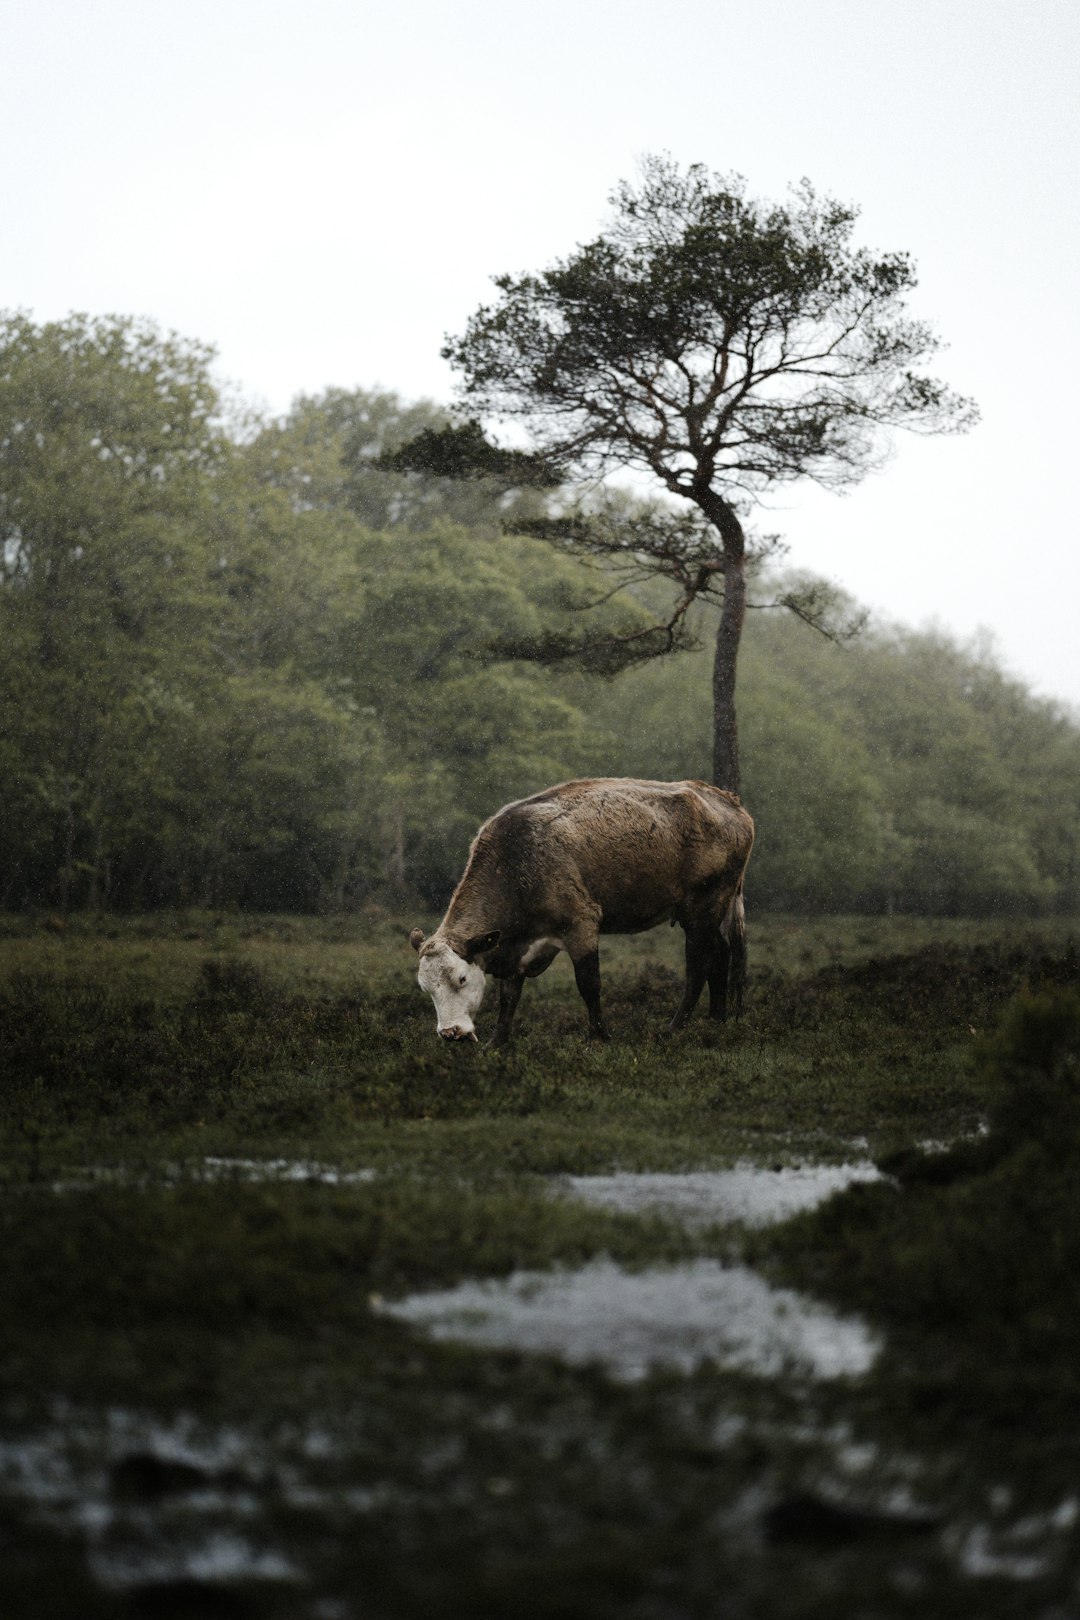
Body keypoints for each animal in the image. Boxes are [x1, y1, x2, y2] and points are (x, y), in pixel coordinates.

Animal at [404, 774, 751, 1049]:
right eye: (425, 988)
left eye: (461, 978)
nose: (451, 1033)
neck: (517, 863)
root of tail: (729, 802)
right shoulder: (516, 945)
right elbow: (509, 995)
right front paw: (496, 1043)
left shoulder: (581, 925)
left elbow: (589, 984)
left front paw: (600, 1037)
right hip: (718, 908)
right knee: (721, 954)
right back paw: (716, 1020)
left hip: (702, 907)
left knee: (699, 964)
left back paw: (675, 1027)